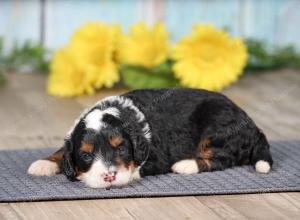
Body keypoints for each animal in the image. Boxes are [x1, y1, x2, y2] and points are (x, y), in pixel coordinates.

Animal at [27, 88, 272, 188]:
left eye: (122, 149)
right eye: (86, 155)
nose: (109, 177)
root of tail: (253, 126)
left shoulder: (155, 155)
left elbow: (134, 167)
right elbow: (63, 149)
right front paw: (44, 163)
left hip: (217, 126)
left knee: (223, 158)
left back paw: (185, 165)